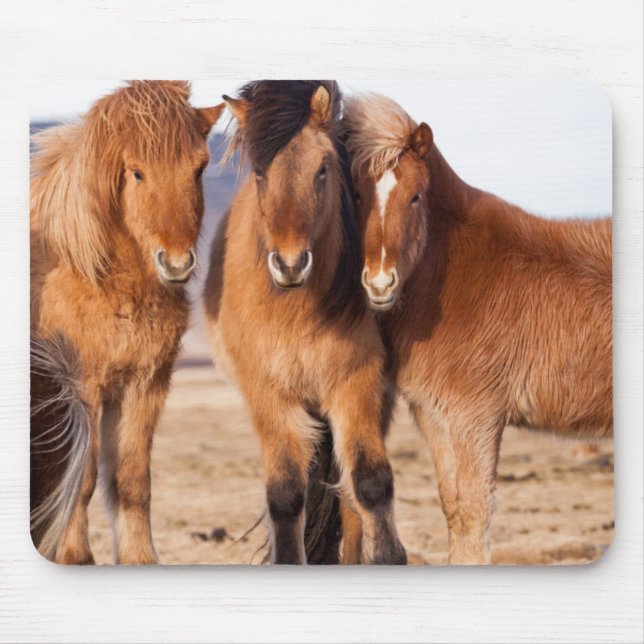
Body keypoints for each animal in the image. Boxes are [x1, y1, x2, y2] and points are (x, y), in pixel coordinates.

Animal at [30, 81, 225, 564]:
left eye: (199, 169)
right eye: (136, 173)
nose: (176, 263)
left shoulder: (145, 383)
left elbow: (132, 481)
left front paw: (140, 559)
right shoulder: (82, 386)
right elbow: (81, 478)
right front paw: (76, 557)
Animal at [203, 81, 406, 564]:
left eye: (323, 169)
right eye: (260, 172)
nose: (291, 264)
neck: (296, 311)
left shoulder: (356, 383)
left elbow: (370, 484)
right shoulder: (268, 393)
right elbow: (285, 495)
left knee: (348, 498)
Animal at [342, 92, 612, 564]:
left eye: (416, 197)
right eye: (356, 194)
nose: (379, 284)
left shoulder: (477, 419)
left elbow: (474, 511)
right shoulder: (436, 417)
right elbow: (454, 509)